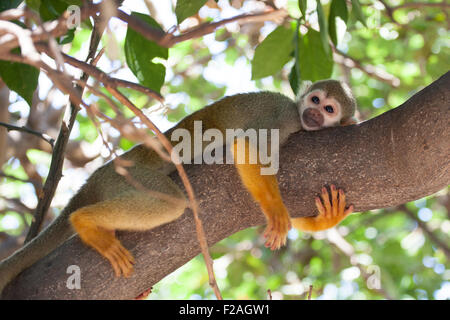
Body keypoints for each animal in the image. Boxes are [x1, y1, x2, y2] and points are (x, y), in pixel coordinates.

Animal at [0, 79, 358, 292]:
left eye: (329, 108)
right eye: (314, 100)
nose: (313, 113)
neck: (299, 120)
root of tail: (95, 177)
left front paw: (325, 217)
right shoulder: (283, 115)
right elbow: (247, 145)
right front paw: (276, 212)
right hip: (126, 176)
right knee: (170, 203)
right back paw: (84, 222)